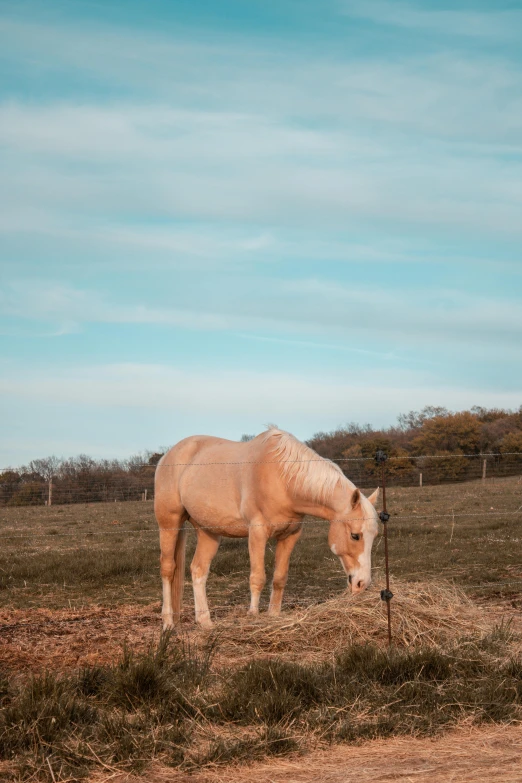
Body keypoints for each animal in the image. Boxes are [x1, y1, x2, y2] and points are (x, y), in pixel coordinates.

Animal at [154, 428, 378, 632]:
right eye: (355, 535)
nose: (362, 584)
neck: (282, 478)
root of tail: (168, 456)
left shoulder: (290, 535)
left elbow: (279, 578)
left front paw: (273, 615)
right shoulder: (257, 533)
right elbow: (258, 577)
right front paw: (253, 616)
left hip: (208, 532)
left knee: (198, 570)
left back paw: (205, 622)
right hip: (169, 523)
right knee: (168, 569)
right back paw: (168, 623)